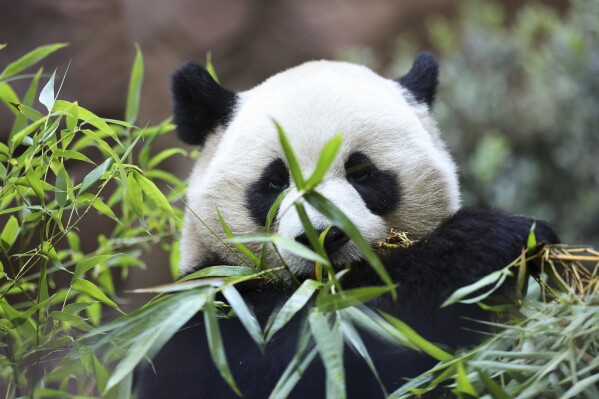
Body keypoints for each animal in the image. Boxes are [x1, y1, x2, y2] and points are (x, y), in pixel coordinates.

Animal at [135, 54, 556, 399]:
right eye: (275, 181)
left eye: (361, 171)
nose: (321, 235)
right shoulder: (200, 306)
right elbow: (288, 348)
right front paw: (492, 239)